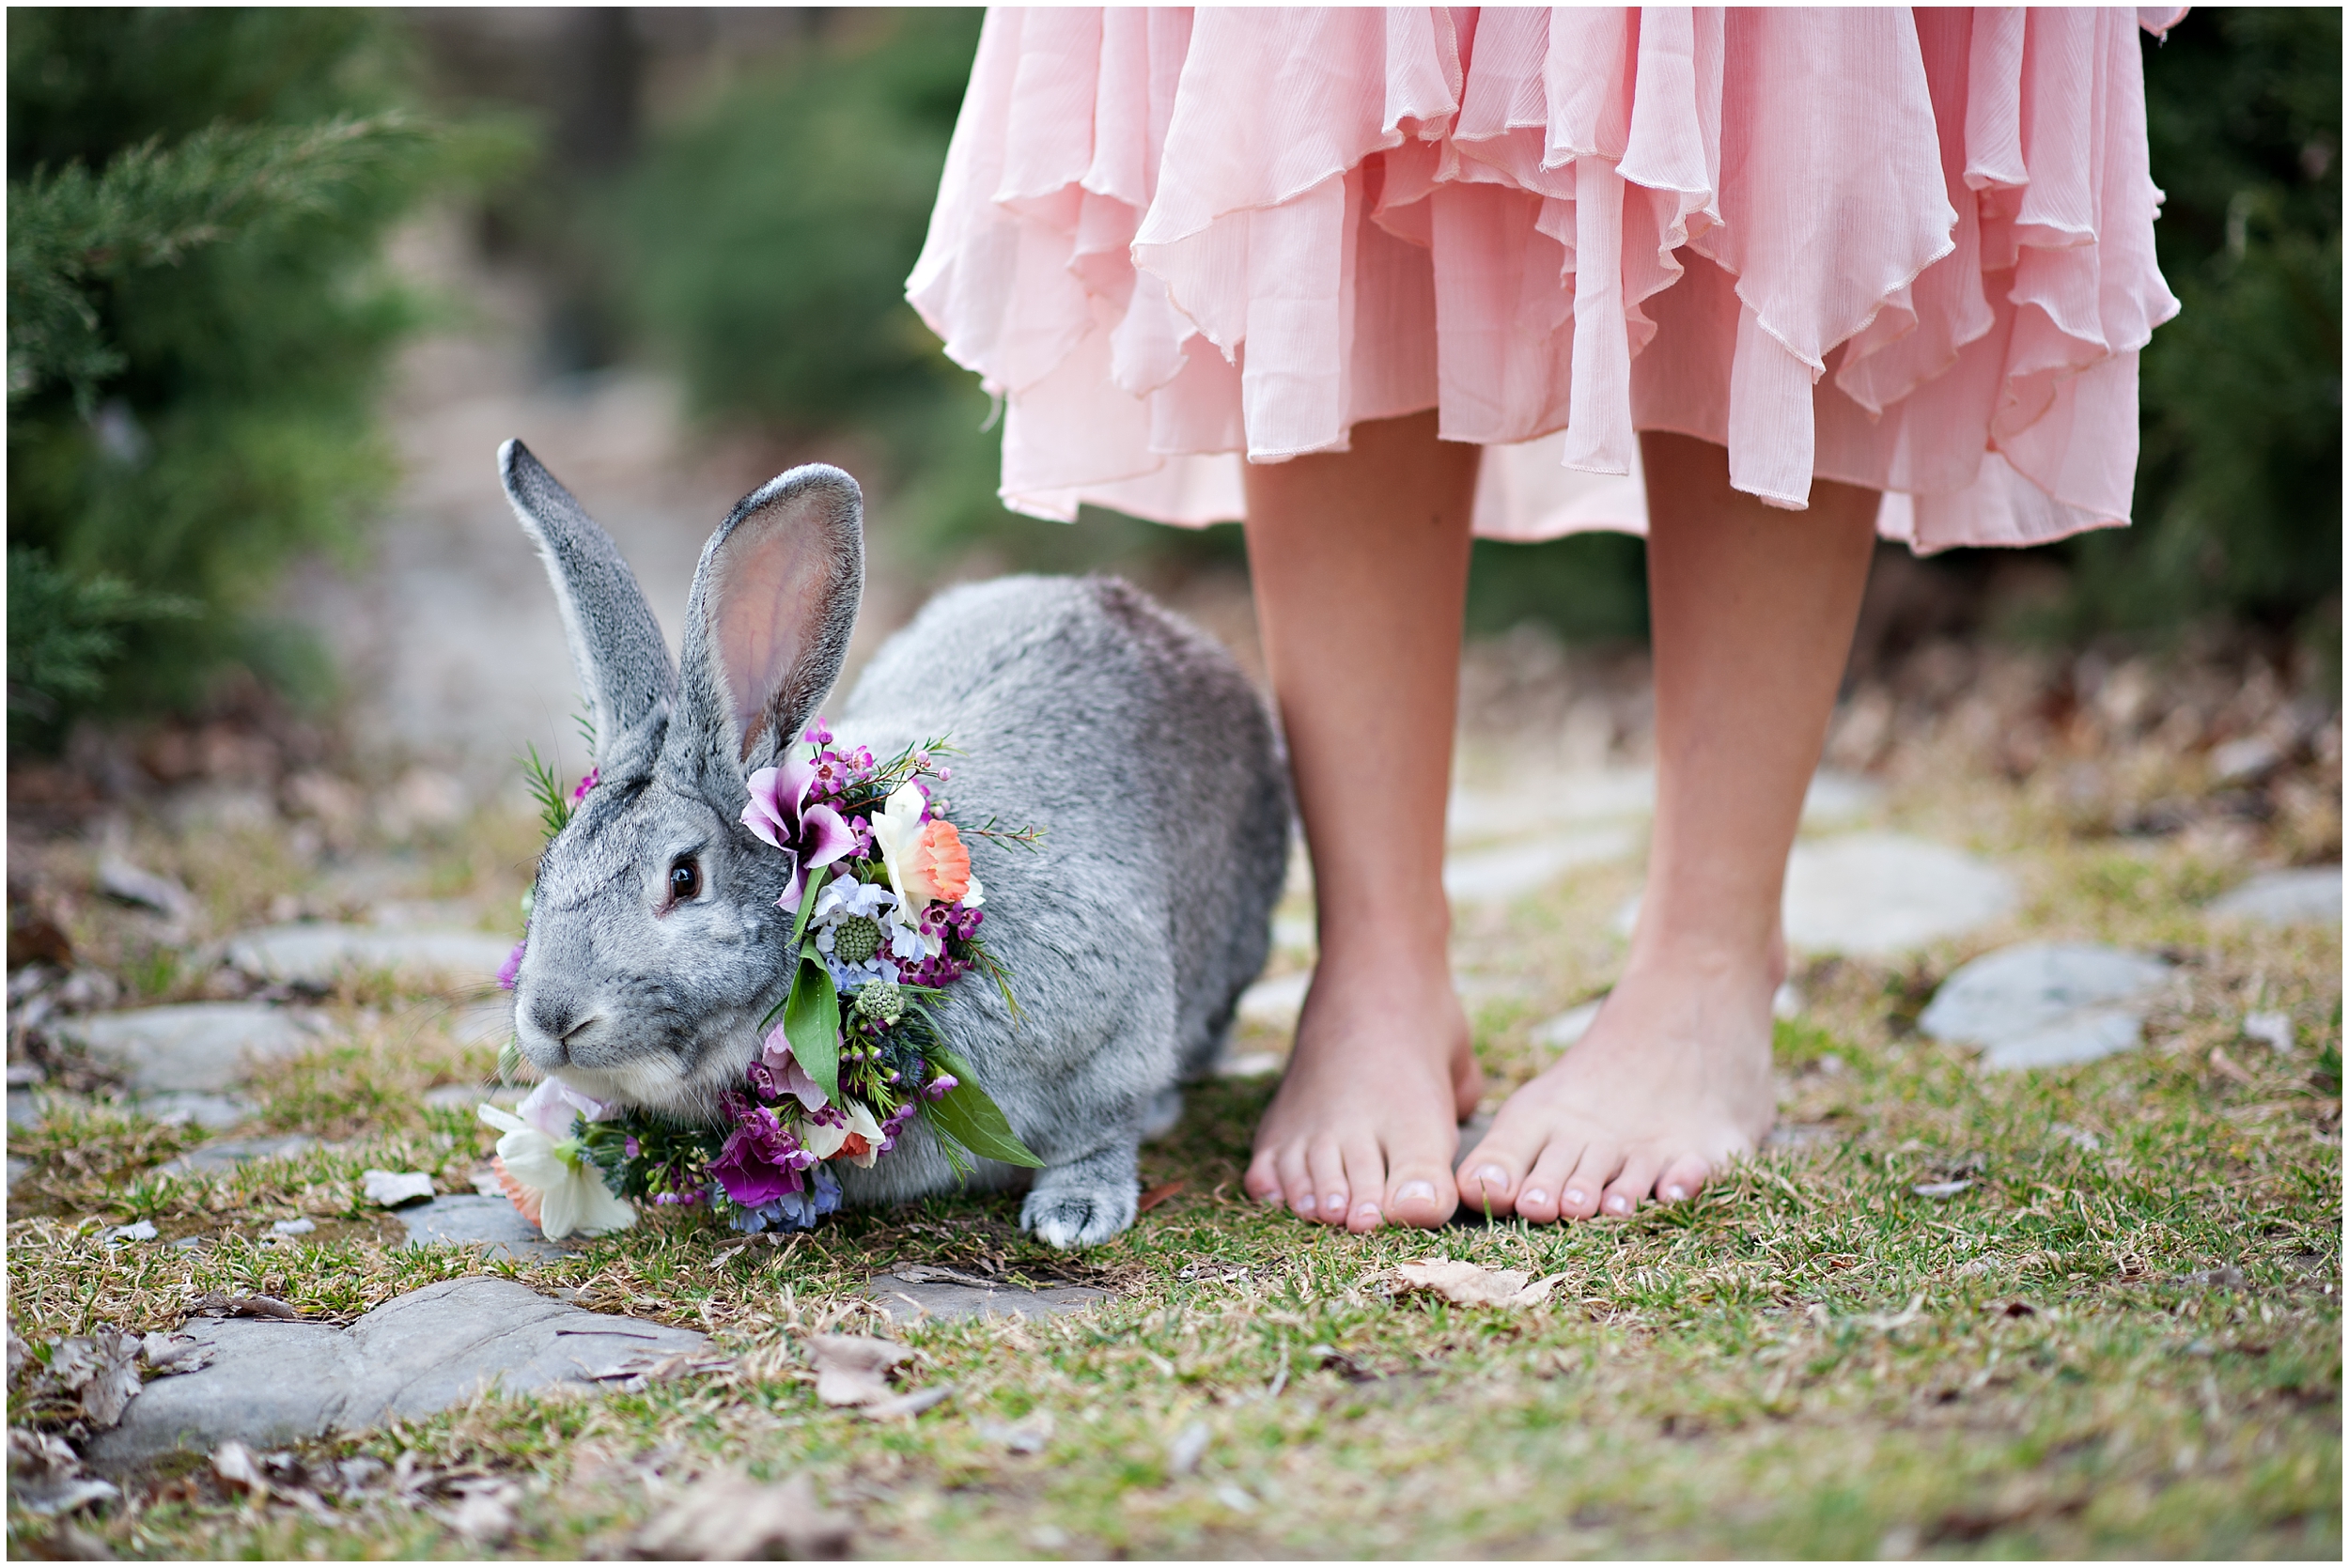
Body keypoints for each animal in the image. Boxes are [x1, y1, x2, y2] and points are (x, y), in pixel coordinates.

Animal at [498, 441, 1297, 1249]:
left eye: (685, 877)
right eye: (547, 869)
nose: (553, 1018)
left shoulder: (1110, 1023)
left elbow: (1099, 1126)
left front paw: (1074, 1211)